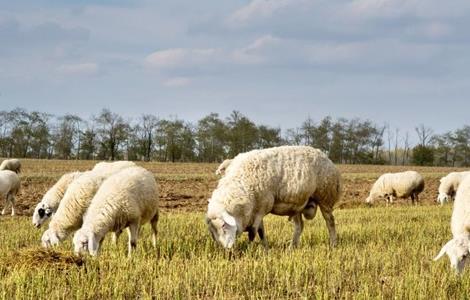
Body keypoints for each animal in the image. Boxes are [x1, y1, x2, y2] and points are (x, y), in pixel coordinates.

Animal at [206, 146, 342, 250]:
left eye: (223, 227)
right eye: (212, 233)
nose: (226, 250)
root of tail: (327, 158)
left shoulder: (261, 208)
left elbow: (253, 232)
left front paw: (249, 249)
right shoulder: (257, 209)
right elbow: (261, 231)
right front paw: (265, 248)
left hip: (325, 197)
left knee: (330, 222)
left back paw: (333, 244)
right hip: (298, 204)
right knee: (299, 226)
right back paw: (292, 247)